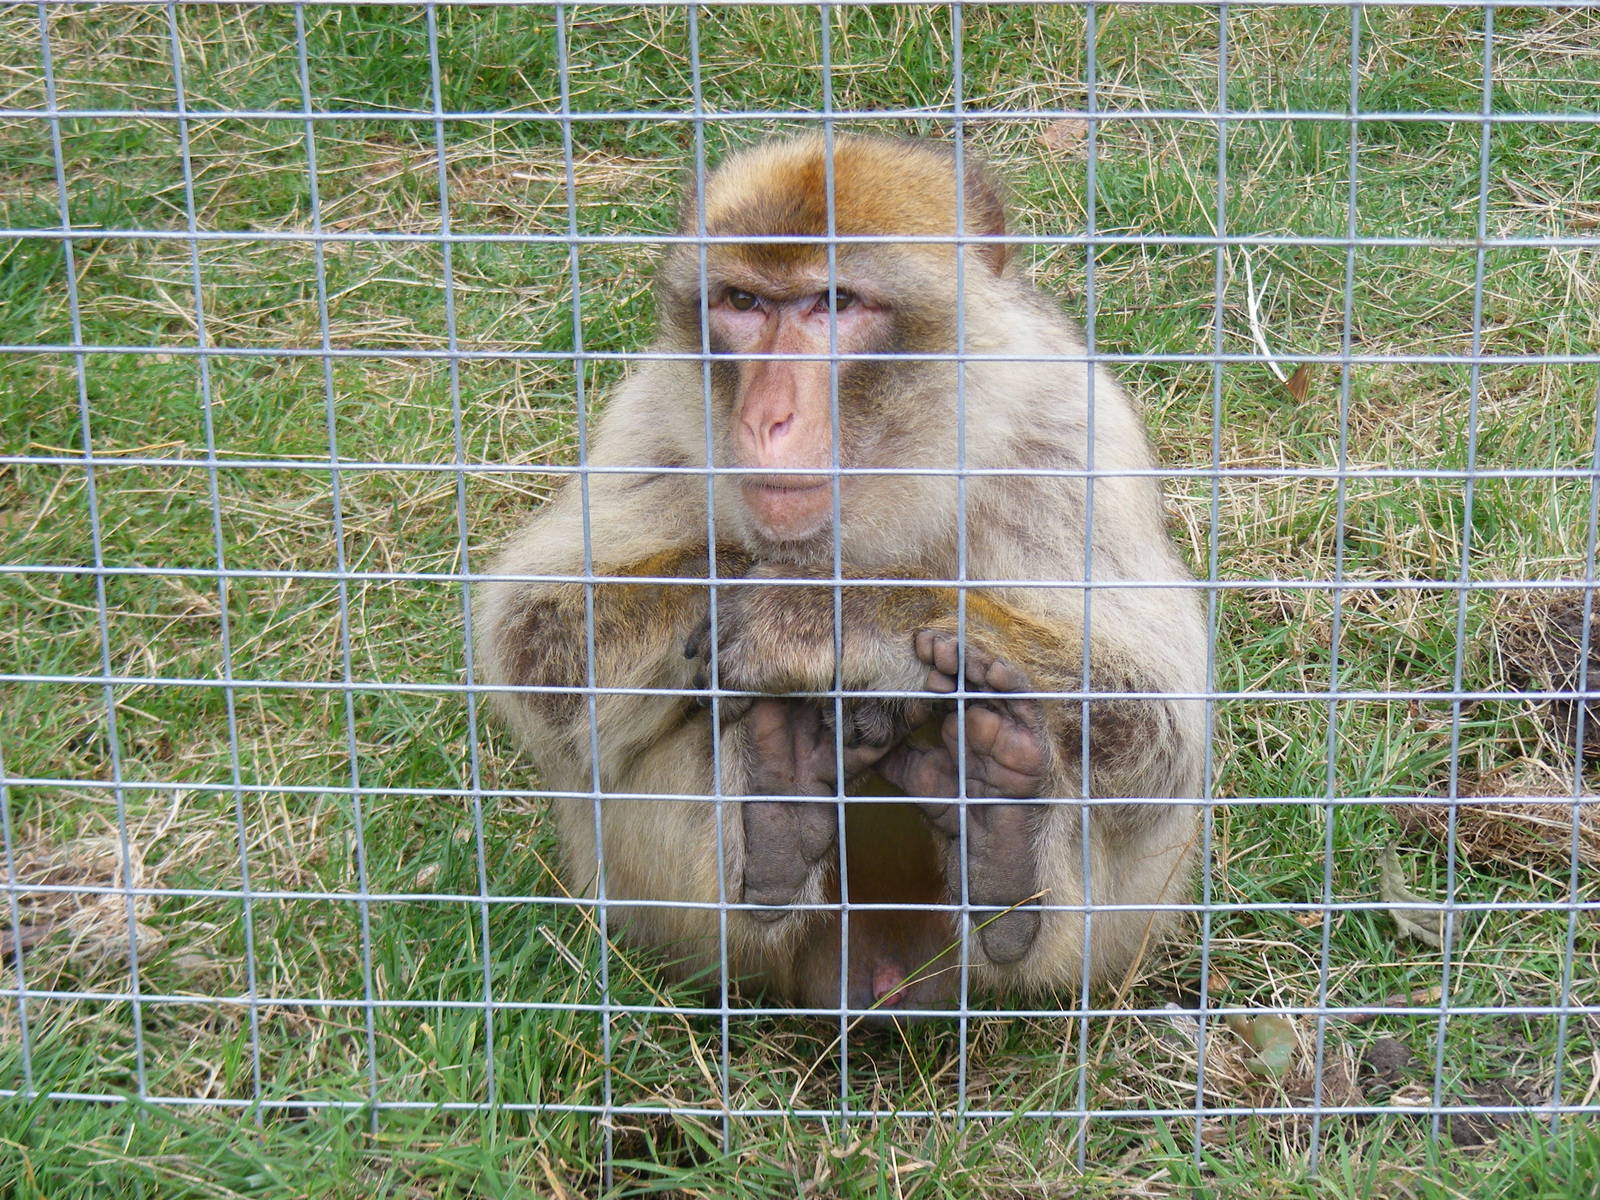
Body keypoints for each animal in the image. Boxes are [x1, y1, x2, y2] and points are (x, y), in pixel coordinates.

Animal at [477, 134, 1206, 1015]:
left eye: (835, 303)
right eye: (743, 303)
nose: (769, 418)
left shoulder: (1068, 435)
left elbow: (1158, 726)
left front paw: (826, 617)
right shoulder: (655, 413)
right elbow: (536, 640)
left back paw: (999, 845)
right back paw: (784, 820)